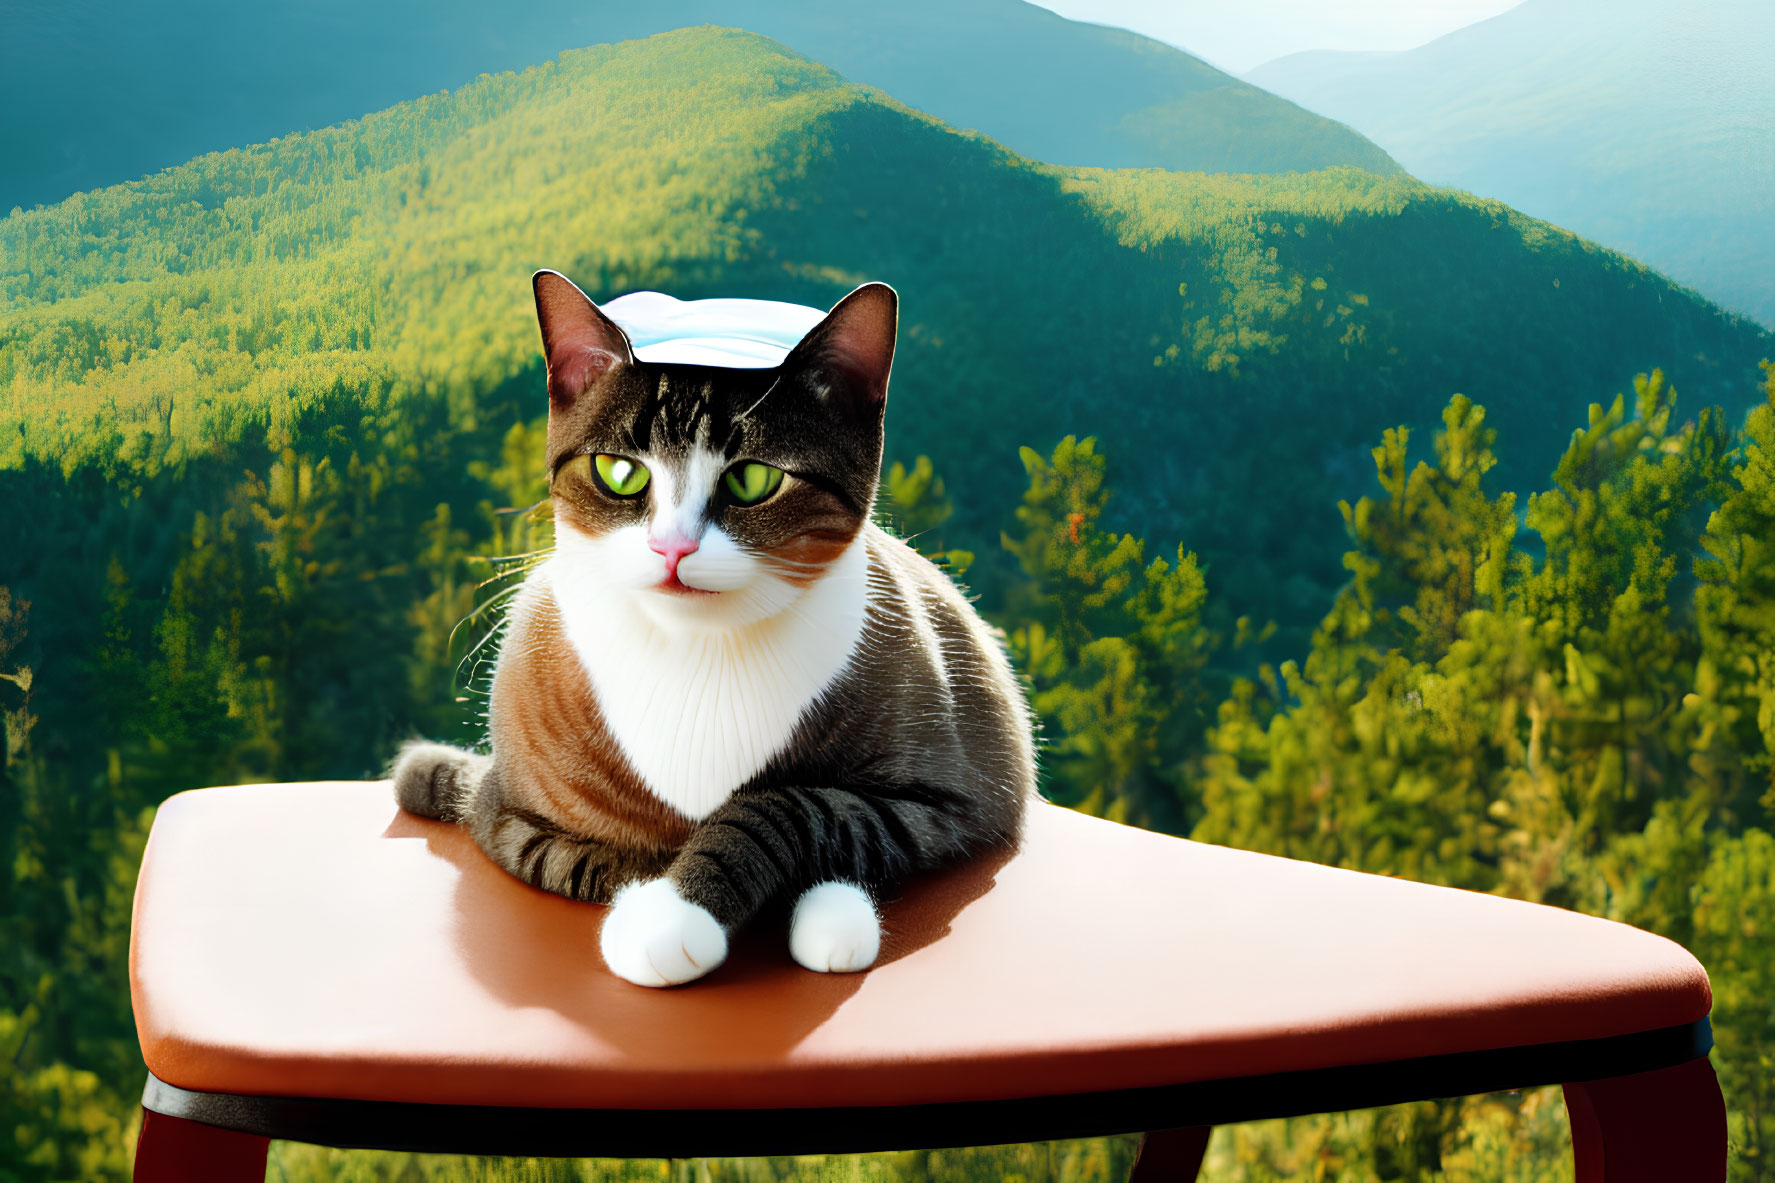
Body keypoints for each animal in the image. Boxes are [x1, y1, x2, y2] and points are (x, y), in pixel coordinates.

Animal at [394, 271, 1036, 980]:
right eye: (620, 472)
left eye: (753, 479)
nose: (671, 547)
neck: (697, 651)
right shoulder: (506, 816)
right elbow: (597, 858)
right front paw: (661, 908)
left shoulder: (956, 795)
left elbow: (799, 807)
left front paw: (782, 907)